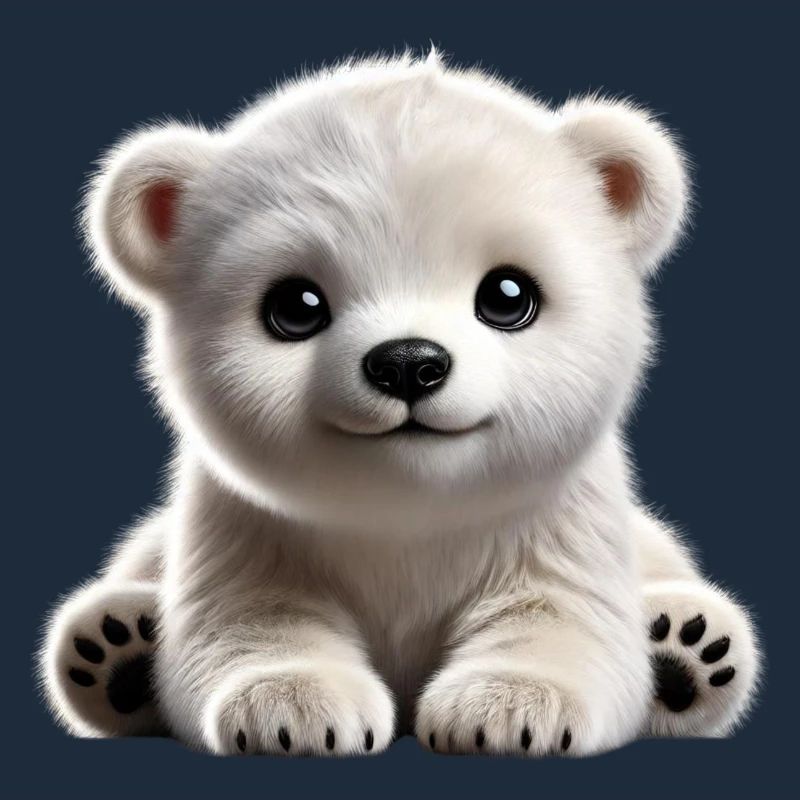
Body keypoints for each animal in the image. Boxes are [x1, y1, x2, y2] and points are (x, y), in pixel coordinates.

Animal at [38, 51, 761, 756]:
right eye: (295, 306)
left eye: (507, 295)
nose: (408, 364)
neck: (407, 511)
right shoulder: (246, 521)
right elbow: (253, 617)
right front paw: (295, 712)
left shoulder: (558, 517)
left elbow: (558, 615)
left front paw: (506, 712)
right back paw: (116, 649)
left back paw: (685, 650)